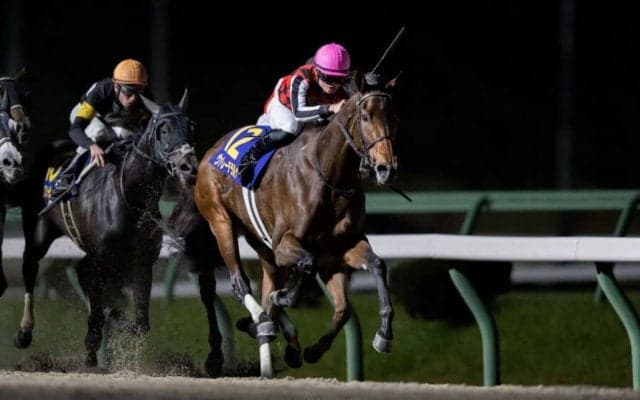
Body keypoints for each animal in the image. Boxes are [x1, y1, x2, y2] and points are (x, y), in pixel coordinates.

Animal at [10, 91, 218, 372]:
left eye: (191, 128)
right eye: (164, 129)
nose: (188, 166)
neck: (129, 195)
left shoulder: (141, 262)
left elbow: (138, 323)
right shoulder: (100, 259)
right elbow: (101, 312)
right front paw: (92, 352)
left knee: (80, 273)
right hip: (38, 234)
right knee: (30, 268)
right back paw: (24, 332)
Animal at [194, 73, 398, 376]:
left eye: (393, 116)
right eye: (365, 116)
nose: (386, 168)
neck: (329, 177)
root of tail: (210, 151)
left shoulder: (340, 249)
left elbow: (363, 284)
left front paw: (382, 335)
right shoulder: (286, 245)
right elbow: (305, 266)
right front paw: (283, 301)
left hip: (261, 244)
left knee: (269, 284)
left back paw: (272, 333)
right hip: (220, 222)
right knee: (240, 284)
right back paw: (262, 320)